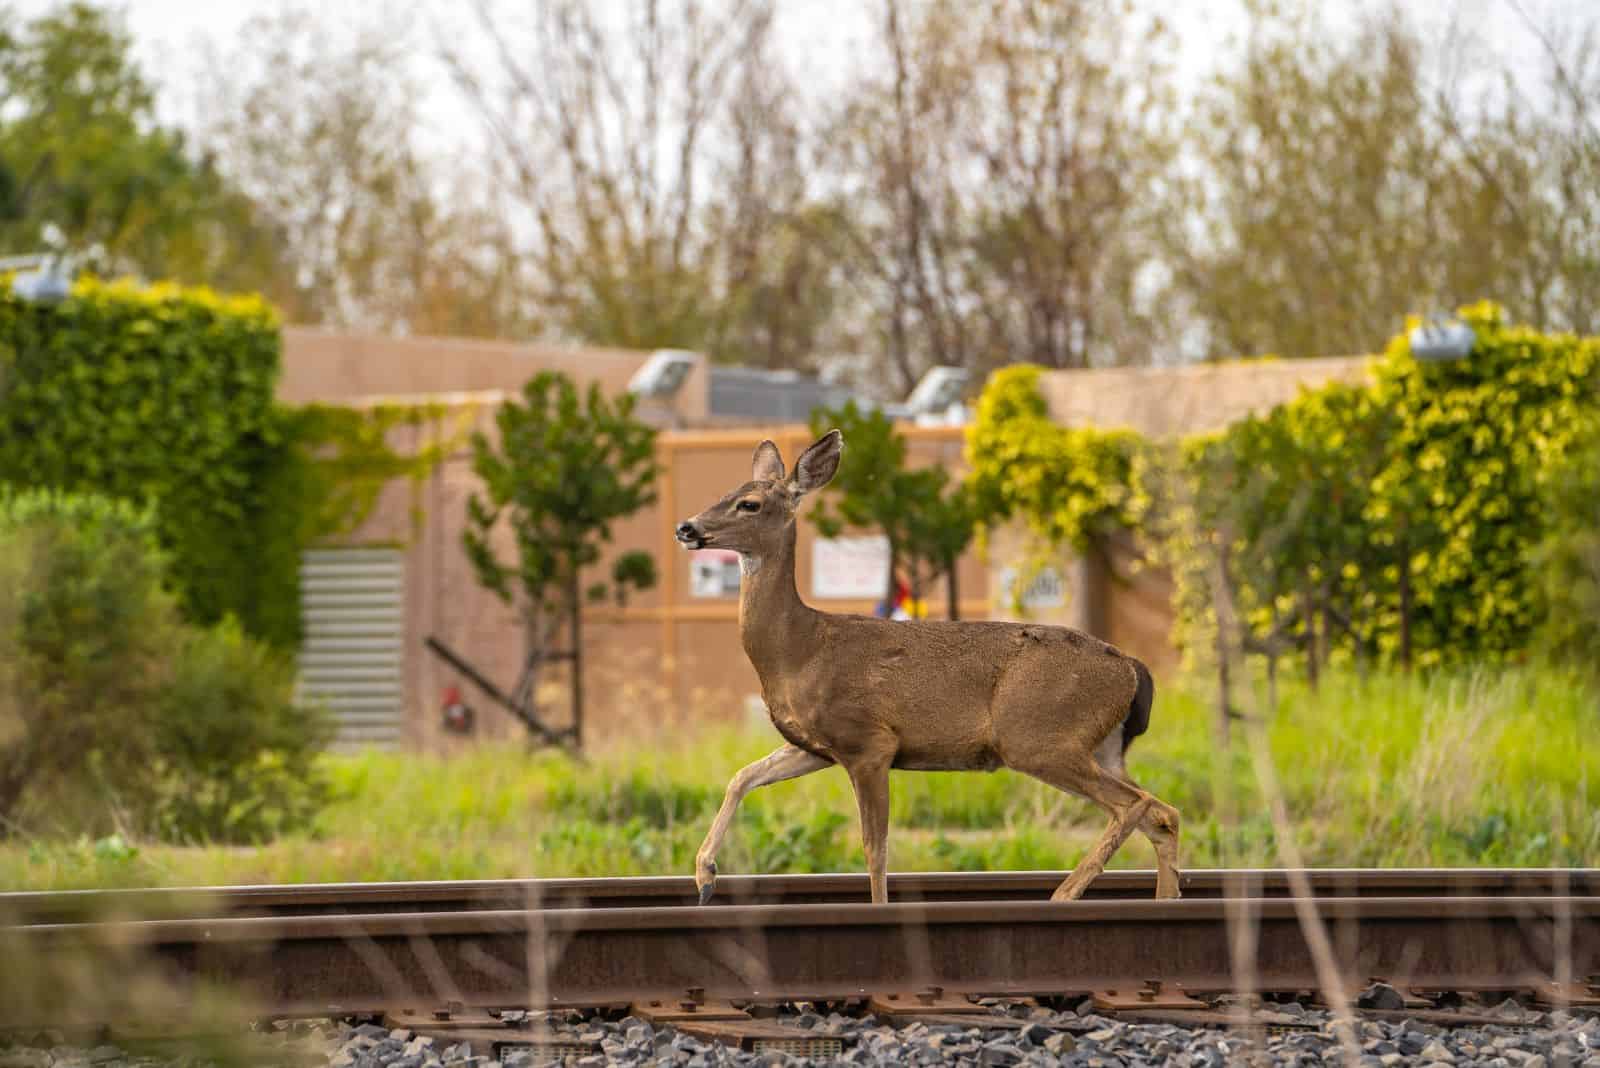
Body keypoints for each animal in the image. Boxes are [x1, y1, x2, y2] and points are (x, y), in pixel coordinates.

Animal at [668, 428, 1184, 908]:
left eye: (749, 503)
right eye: (727, 491)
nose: (687, 528)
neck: (799, 650)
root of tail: (1133, 669)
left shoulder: (869, 741)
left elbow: (875, 850)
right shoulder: (817, 745)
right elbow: (743, 776)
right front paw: (704, 876)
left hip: (1041, 736)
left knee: (1135, 805)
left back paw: (1062, 895)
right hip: (1102, 746)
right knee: (1162, 813)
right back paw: (1161, 899)